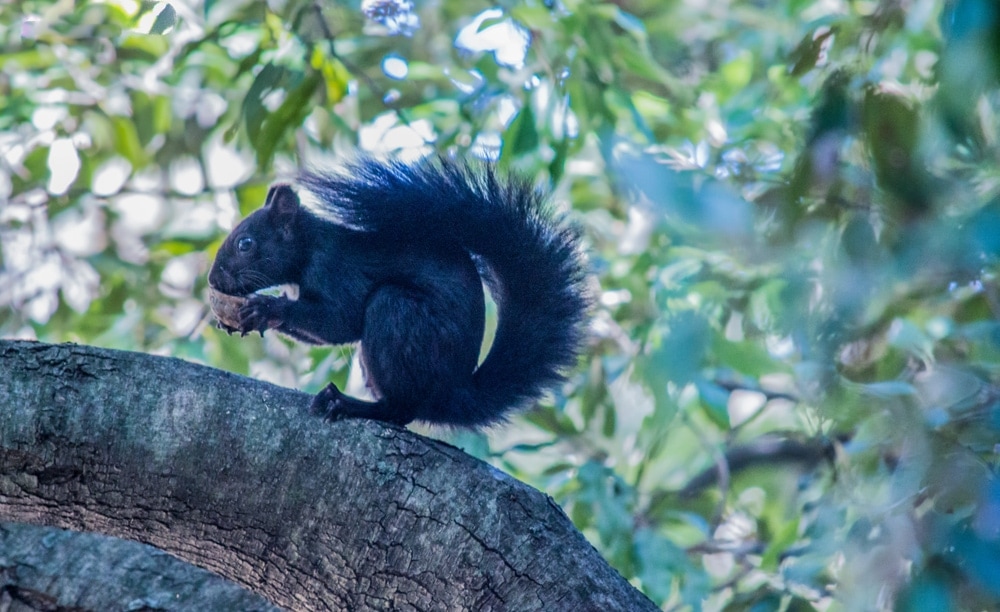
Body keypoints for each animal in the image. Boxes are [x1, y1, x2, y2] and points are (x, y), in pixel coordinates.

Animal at [207, 157, 590, 428]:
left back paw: (348, 404)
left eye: (245, 243)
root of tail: (454, 394)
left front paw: (265, 307)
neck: (309, 247)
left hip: (399, 314)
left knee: (401, 409)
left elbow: (339, 323)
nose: (212, 280)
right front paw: (238, 320)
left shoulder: (338, 270)